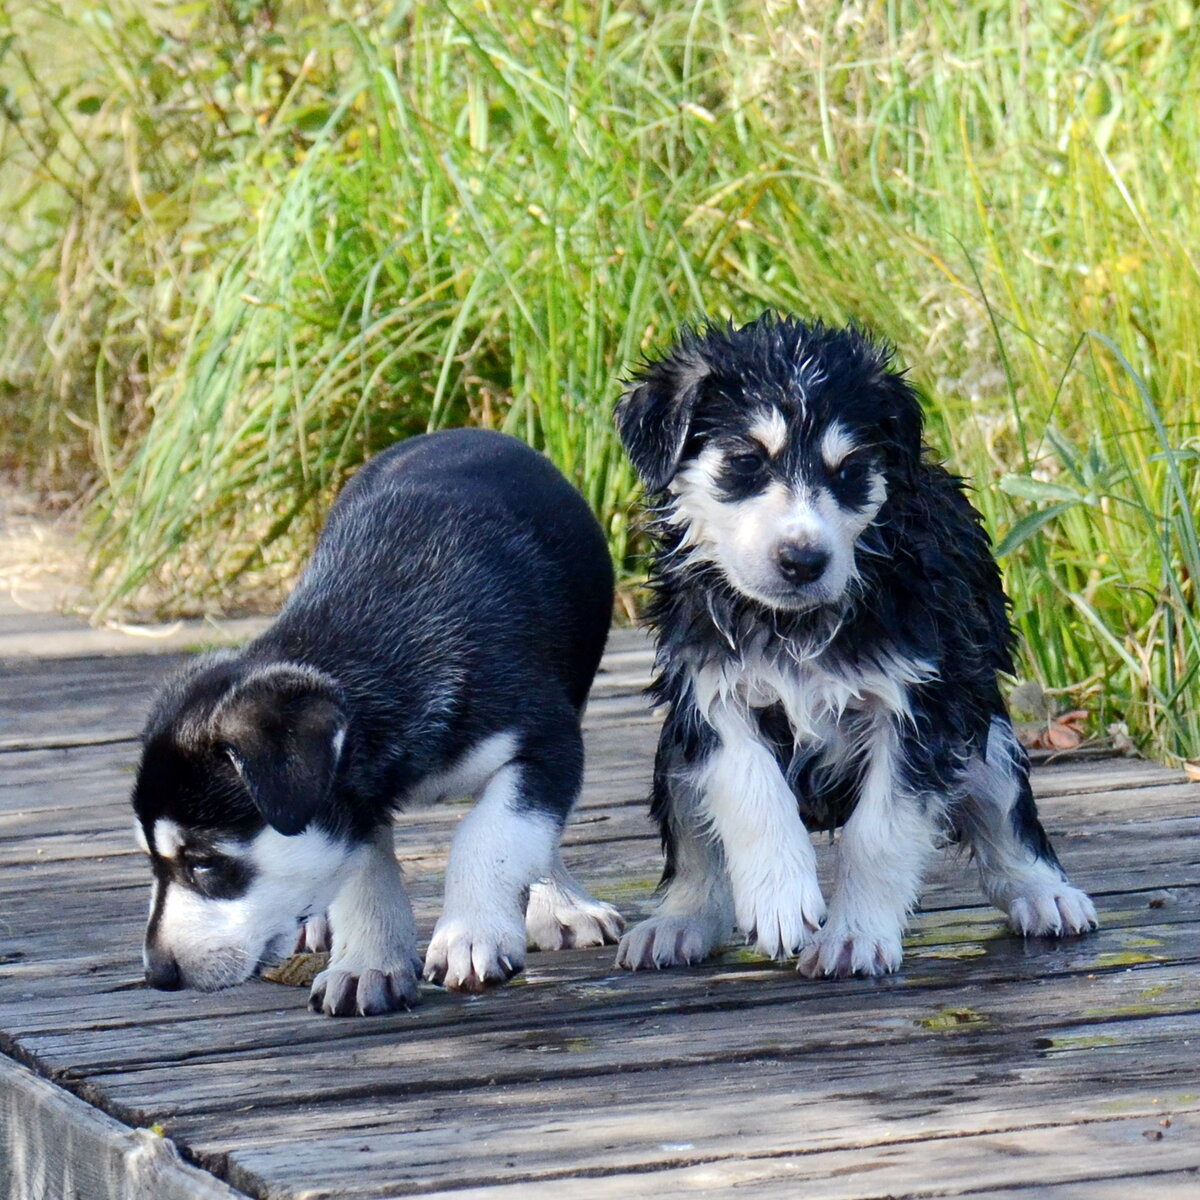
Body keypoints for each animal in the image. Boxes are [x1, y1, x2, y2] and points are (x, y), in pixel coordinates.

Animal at [131, 429, 619, 1012]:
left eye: (203, 864)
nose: (160, 975)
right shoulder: (355, 801)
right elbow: (360, 867)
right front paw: (367, 963)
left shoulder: (545, 741)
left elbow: (493, 832)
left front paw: (470, 933)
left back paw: (561, 904)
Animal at [619, 314, 1099, 979]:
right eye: (745, 462)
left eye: (848, 472)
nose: (803, 561)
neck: (792, 625)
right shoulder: (709, 690)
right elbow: (749, 785)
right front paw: (779, 896)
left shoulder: (921, 707)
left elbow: (880, 834)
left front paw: (855, 936)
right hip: (674, 756)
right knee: (695, 847)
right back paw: (677, 921)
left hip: (987, 738)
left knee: (1007, 818)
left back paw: (1045, 894)